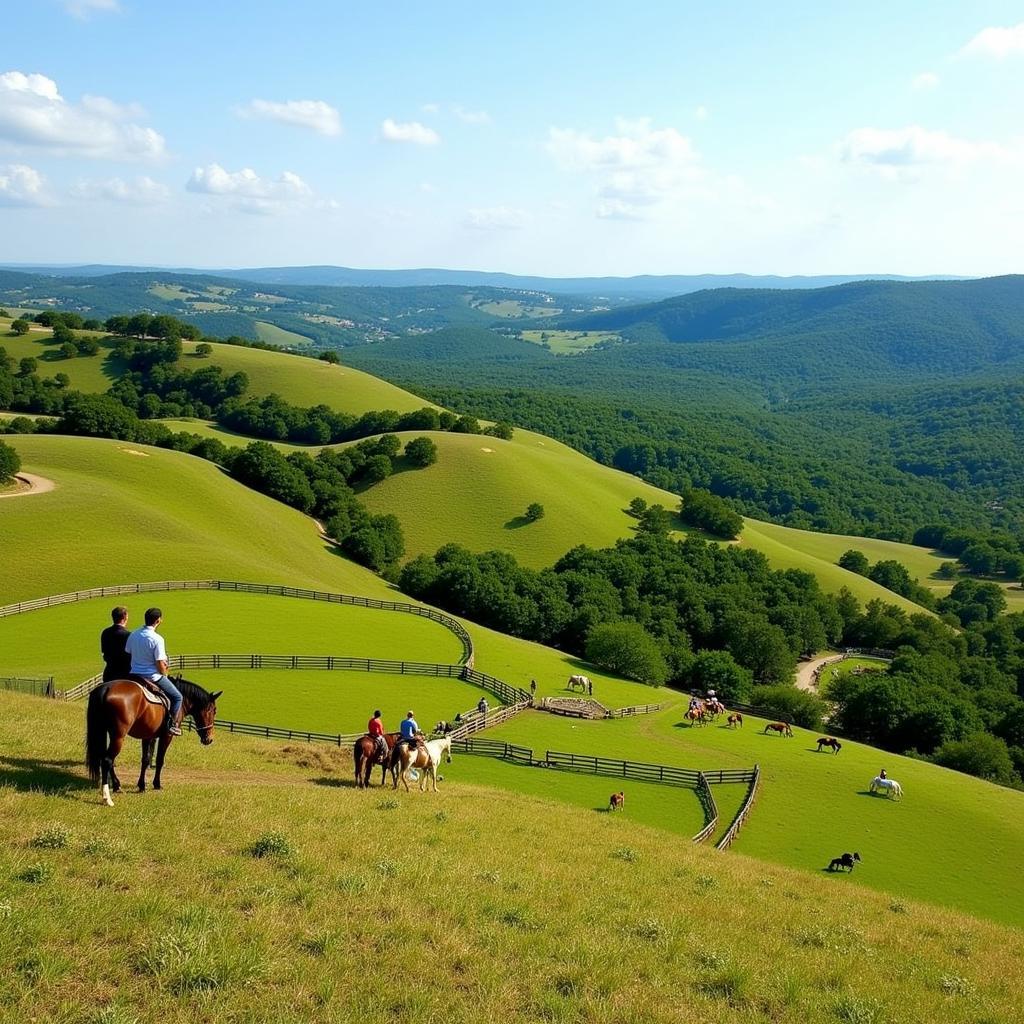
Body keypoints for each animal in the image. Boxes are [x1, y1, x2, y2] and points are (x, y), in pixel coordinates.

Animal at [86, 671, 220, 806]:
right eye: (213, 710)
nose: (209, 739)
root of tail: (106, 689)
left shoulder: (148, 736)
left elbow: (145, 760)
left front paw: (142, 785)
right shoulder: (167, 736)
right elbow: (160, 760)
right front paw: (157, 784)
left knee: (107, 759)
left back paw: (117, 785)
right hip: (119, 736)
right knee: (107, 760)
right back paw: (107, 797)